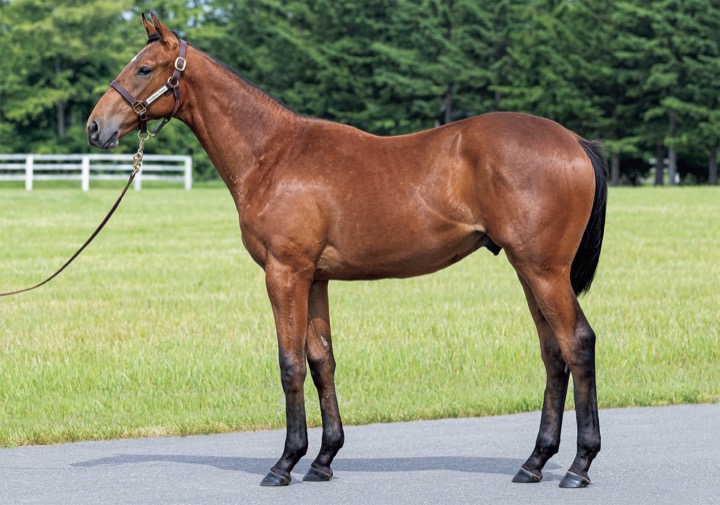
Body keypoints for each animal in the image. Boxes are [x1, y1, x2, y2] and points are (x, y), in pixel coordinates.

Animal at [87, 13, 607, 489]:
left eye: (144, 68)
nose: (95, 128)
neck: (273, 155)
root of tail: (575, 141)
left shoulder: (284, 273)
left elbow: (290, 364)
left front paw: (285, 462)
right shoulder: (315, 277)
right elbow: (322, 361)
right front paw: (322, 459)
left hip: (543, 271)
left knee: (577, 343)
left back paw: (579, 466)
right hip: (529, 271)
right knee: (553, 353)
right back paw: (535, 461)